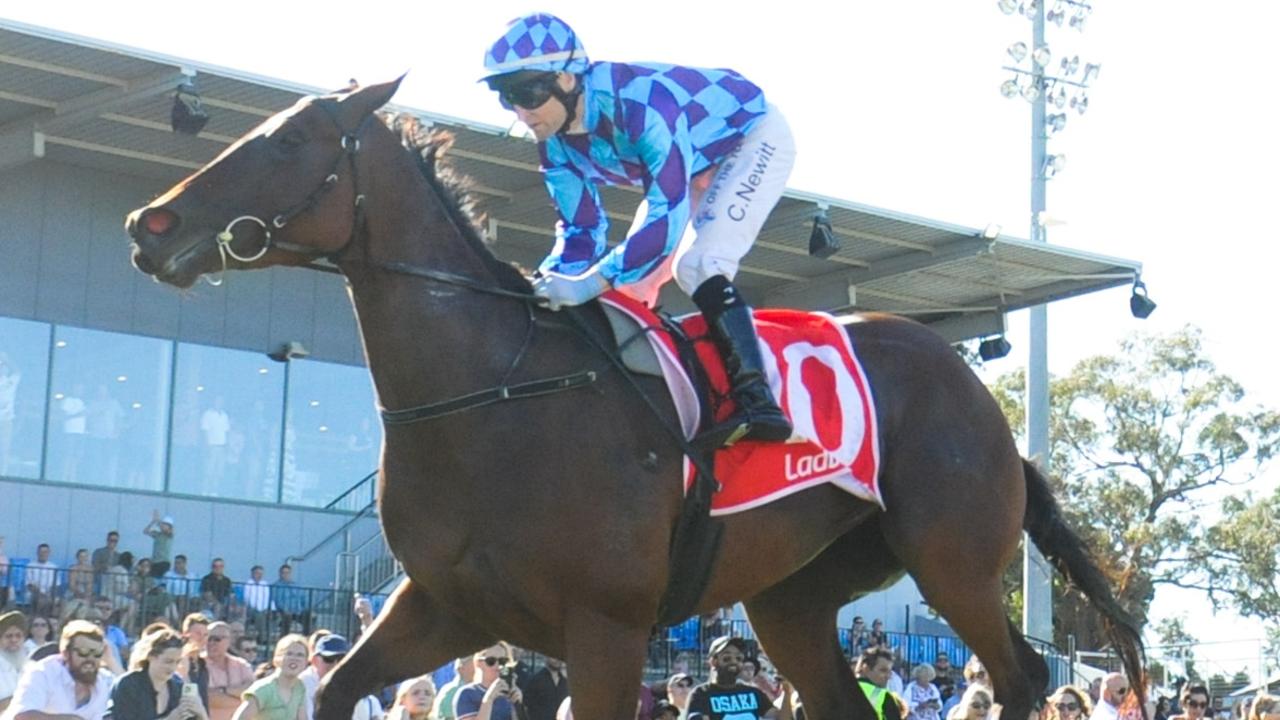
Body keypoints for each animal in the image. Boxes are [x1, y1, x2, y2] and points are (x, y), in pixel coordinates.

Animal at [124, 79, 1146, 717]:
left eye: (291, 141)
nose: (148, 223)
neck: (491, 394)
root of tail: (985, 402)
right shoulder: (445, 608)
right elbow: (337, 689)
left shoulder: (607, 630)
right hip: (795, 600)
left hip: (953, 561)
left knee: (1023, 675)